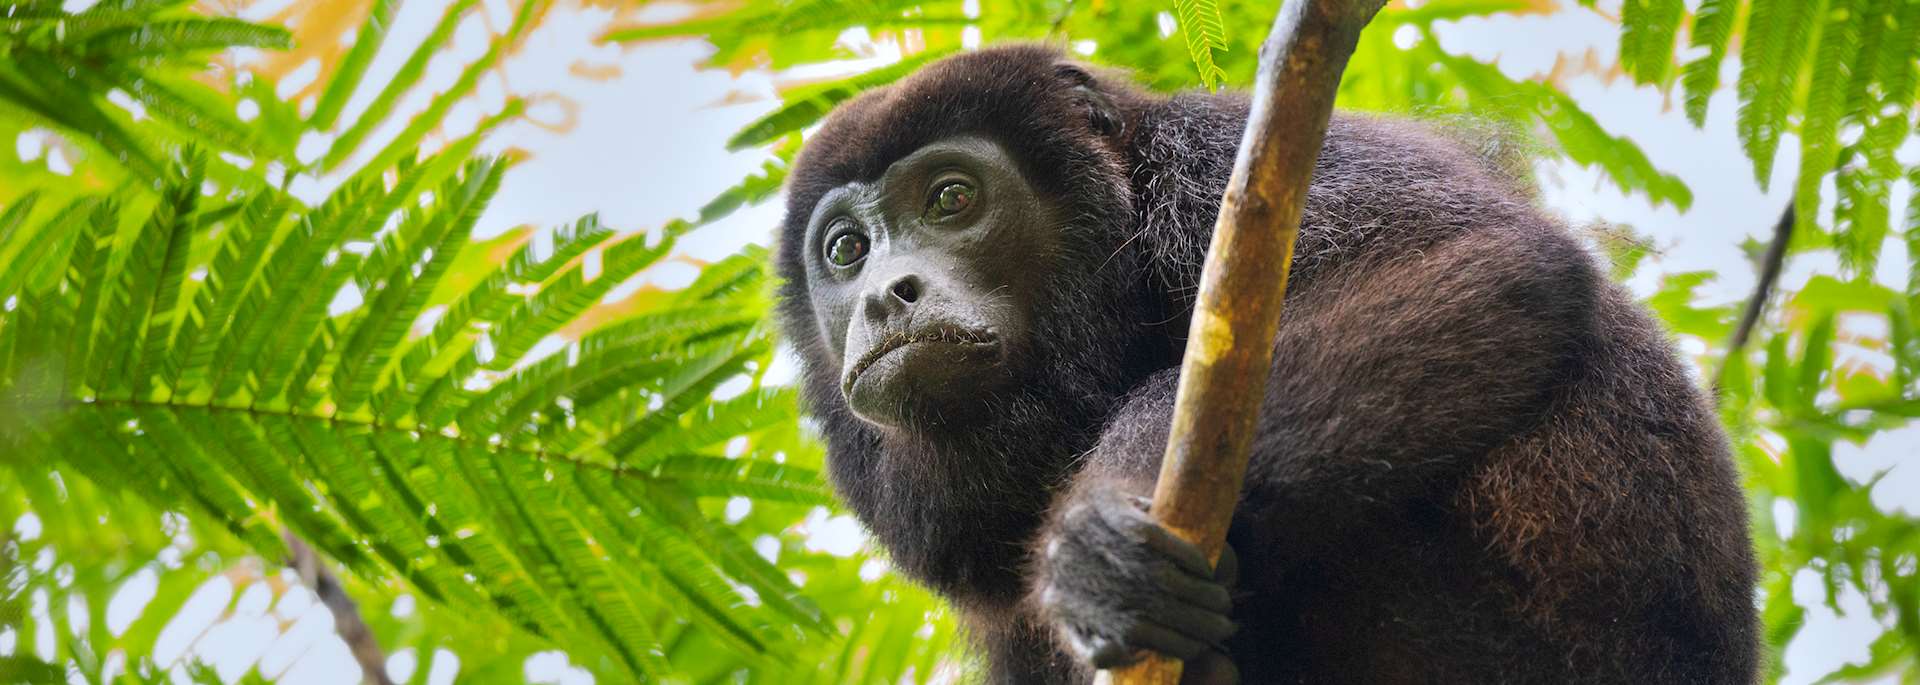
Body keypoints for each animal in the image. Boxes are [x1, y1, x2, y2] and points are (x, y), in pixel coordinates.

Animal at [772, 44, 1759, 683]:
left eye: (951, 198)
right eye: (847, 250)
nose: (885, 295)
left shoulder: (1213, 158)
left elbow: (1480, 262)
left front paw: (1094, 544)